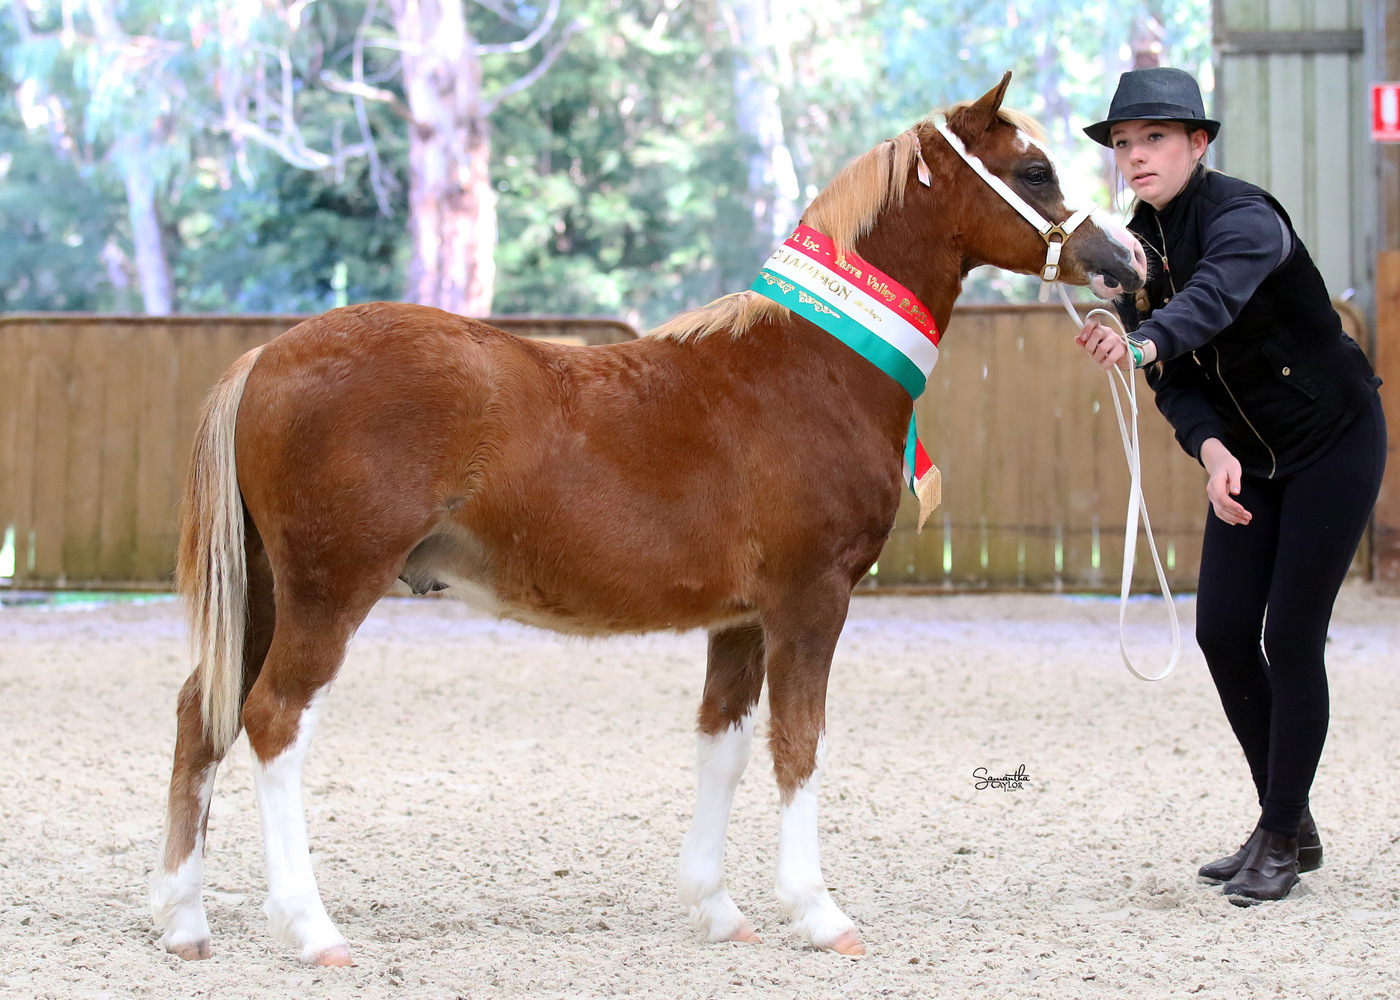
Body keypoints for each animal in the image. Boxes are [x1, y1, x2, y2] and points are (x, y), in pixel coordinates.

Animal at [150, 72, 1146, 965]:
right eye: (1035, 169)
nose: (1129, 262)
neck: (813, 365)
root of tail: (268, 356)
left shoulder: (742, 621)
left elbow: (725, 743)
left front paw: (717, 908)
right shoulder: (811, 602)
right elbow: (800, 746)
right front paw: (818, 913)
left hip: (269, 587)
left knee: (204, 712)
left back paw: (186, 924)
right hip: (329, 588)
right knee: (274, 720)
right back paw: (311, 929)